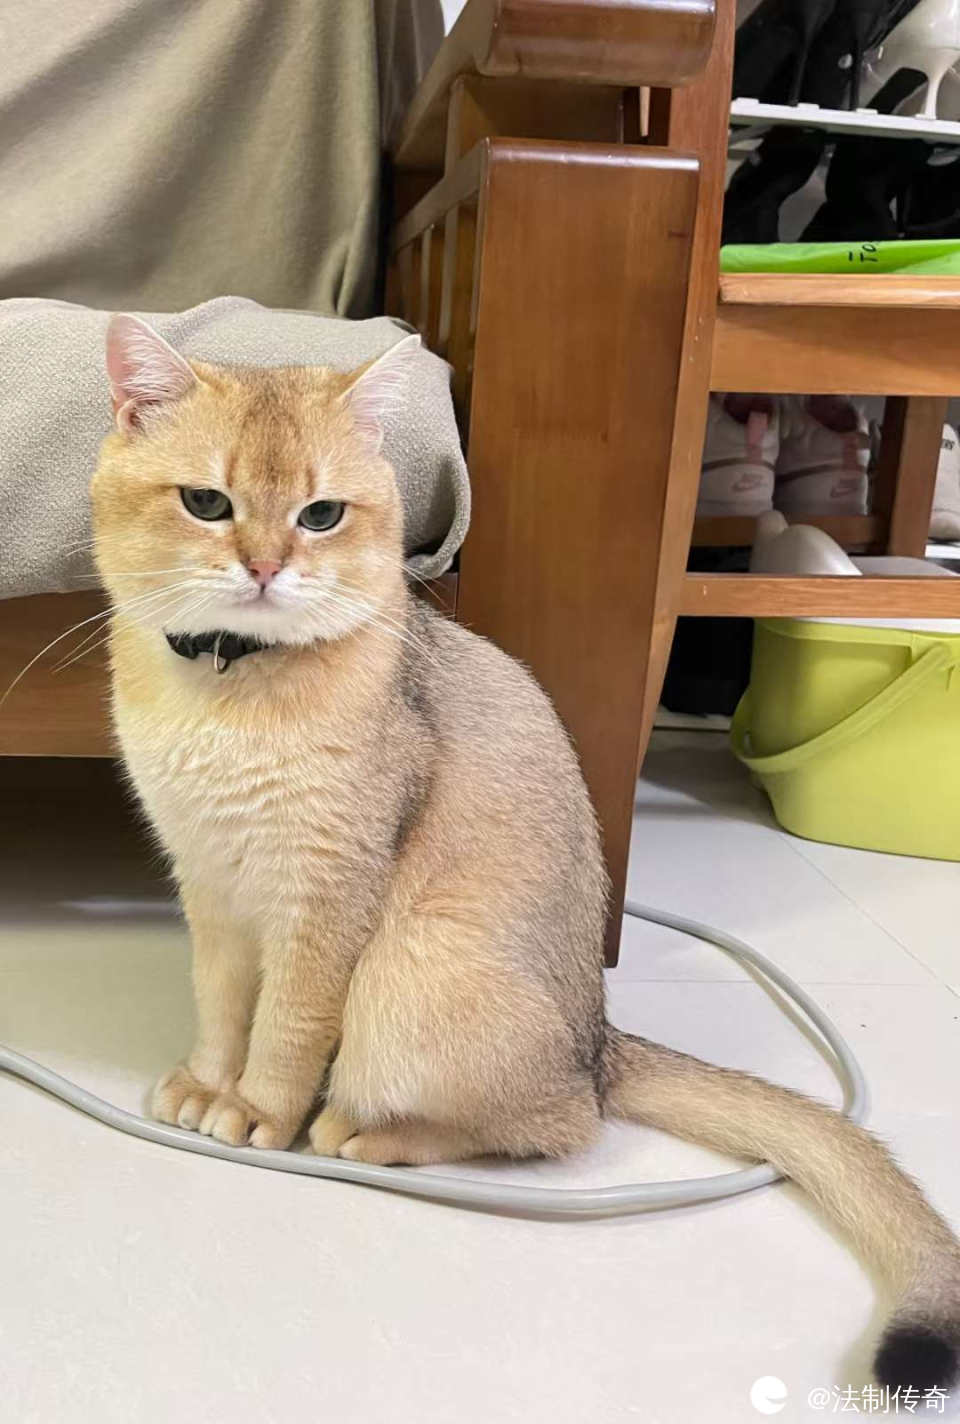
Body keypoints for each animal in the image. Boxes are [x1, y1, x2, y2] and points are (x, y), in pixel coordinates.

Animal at [92, 313, 960, 1391]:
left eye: (322, 513)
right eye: (207, 502)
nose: (263, 566)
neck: (227, 691)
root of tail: (601, 1038)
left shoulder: (325, 895)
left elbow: (288, 1027)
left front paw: (257, 1110)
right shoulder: (208, 884)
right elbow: (220, 1004)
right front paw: (207, 1082)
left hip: (409, 972)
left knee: (561, 1123)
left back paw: (369, 1130)